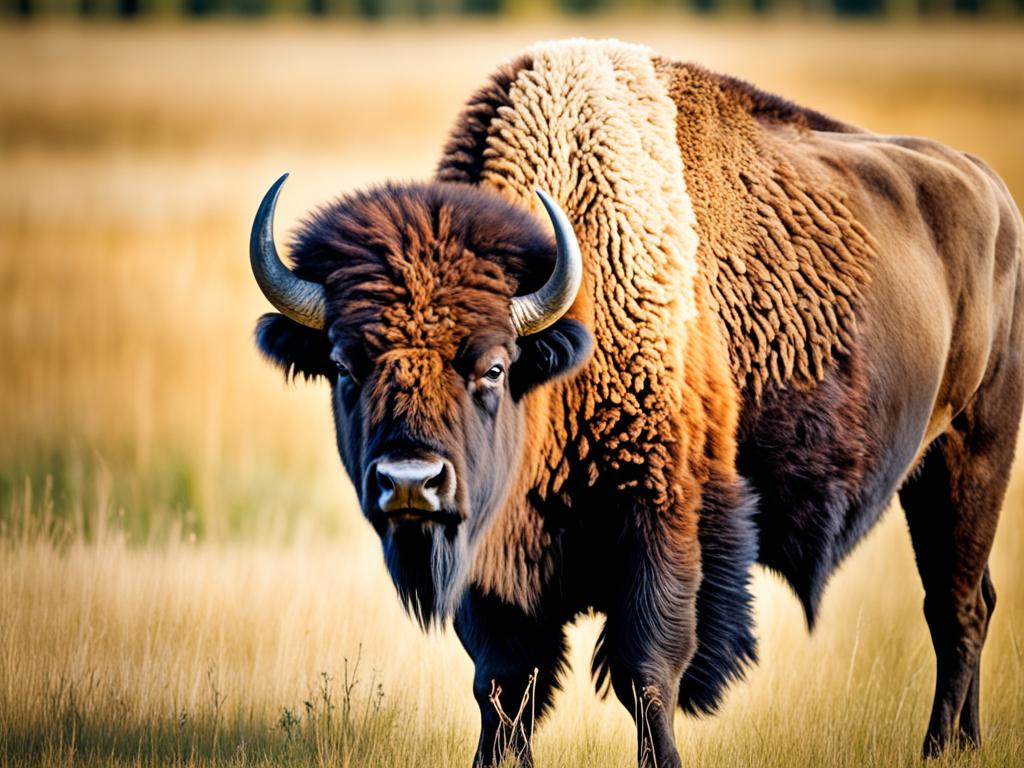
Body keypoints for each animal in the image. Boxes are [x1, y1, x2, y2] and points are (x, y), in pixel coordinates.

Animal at [249, 40, 1023, 767]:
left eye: (494, 367)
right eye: (343, 368)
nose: (411, 483)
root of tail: (992, 189)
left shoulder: (663, 525)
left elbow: (646, 673)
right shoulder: (493, 567)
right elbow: (504, 686)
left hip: (973, 450)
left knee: (954, 606)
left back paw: (937, 747)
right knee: (975, 598)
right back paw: (968, 743)